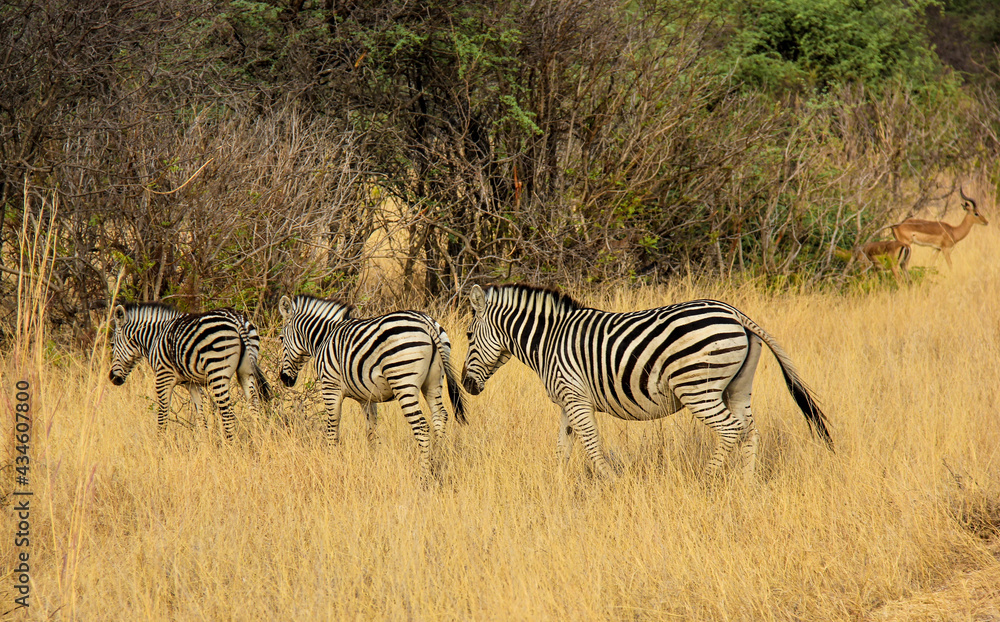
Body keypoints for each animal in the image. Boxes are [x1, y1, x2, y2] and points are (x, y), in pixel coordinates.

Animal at [110, 304, 274, 442]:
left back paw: (230, 447)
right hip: (246, 371)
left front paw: (160, 445)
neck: (154, 340)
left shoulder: (163, 378)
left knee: (227, 413)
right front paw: (206, 445)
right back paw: (257, 440)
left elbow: (162, 415)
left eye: (112, 344)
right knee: (254, 405)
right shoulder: (192, 383)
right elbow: (200, 416)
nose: (112, 378)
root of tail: (236, 320)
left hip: (217, 371)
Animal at [276, 294, 466, 480]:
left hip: (403, 381)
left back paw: (424, 475)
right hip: (433, 381)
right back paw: (437, 464)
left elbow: (332, 427)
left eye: (280, 339)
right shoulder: (367, 397)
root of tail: (425, 321)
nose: (284, 379)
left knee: (421, 426)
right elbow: (371, 431)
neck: (324, 338)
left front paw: (331, 461)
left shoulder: (330, 387)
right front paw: (373, 462)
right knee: (440, 417)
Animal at [458, 286, 832, 486]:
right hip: (737, 387)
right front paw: (558, 486)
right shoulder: (568, 400)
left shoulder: (576, 397)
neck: (549, 340)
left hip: (698, 387)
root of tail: (735, 313)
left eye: (468, 335)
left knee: (729, 429)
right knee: (749, 431)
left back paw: (706, 482)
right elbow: (563, 447)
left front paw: (611, 483)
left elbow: (590, 445)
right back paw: (746, 484)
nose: (465, 385)